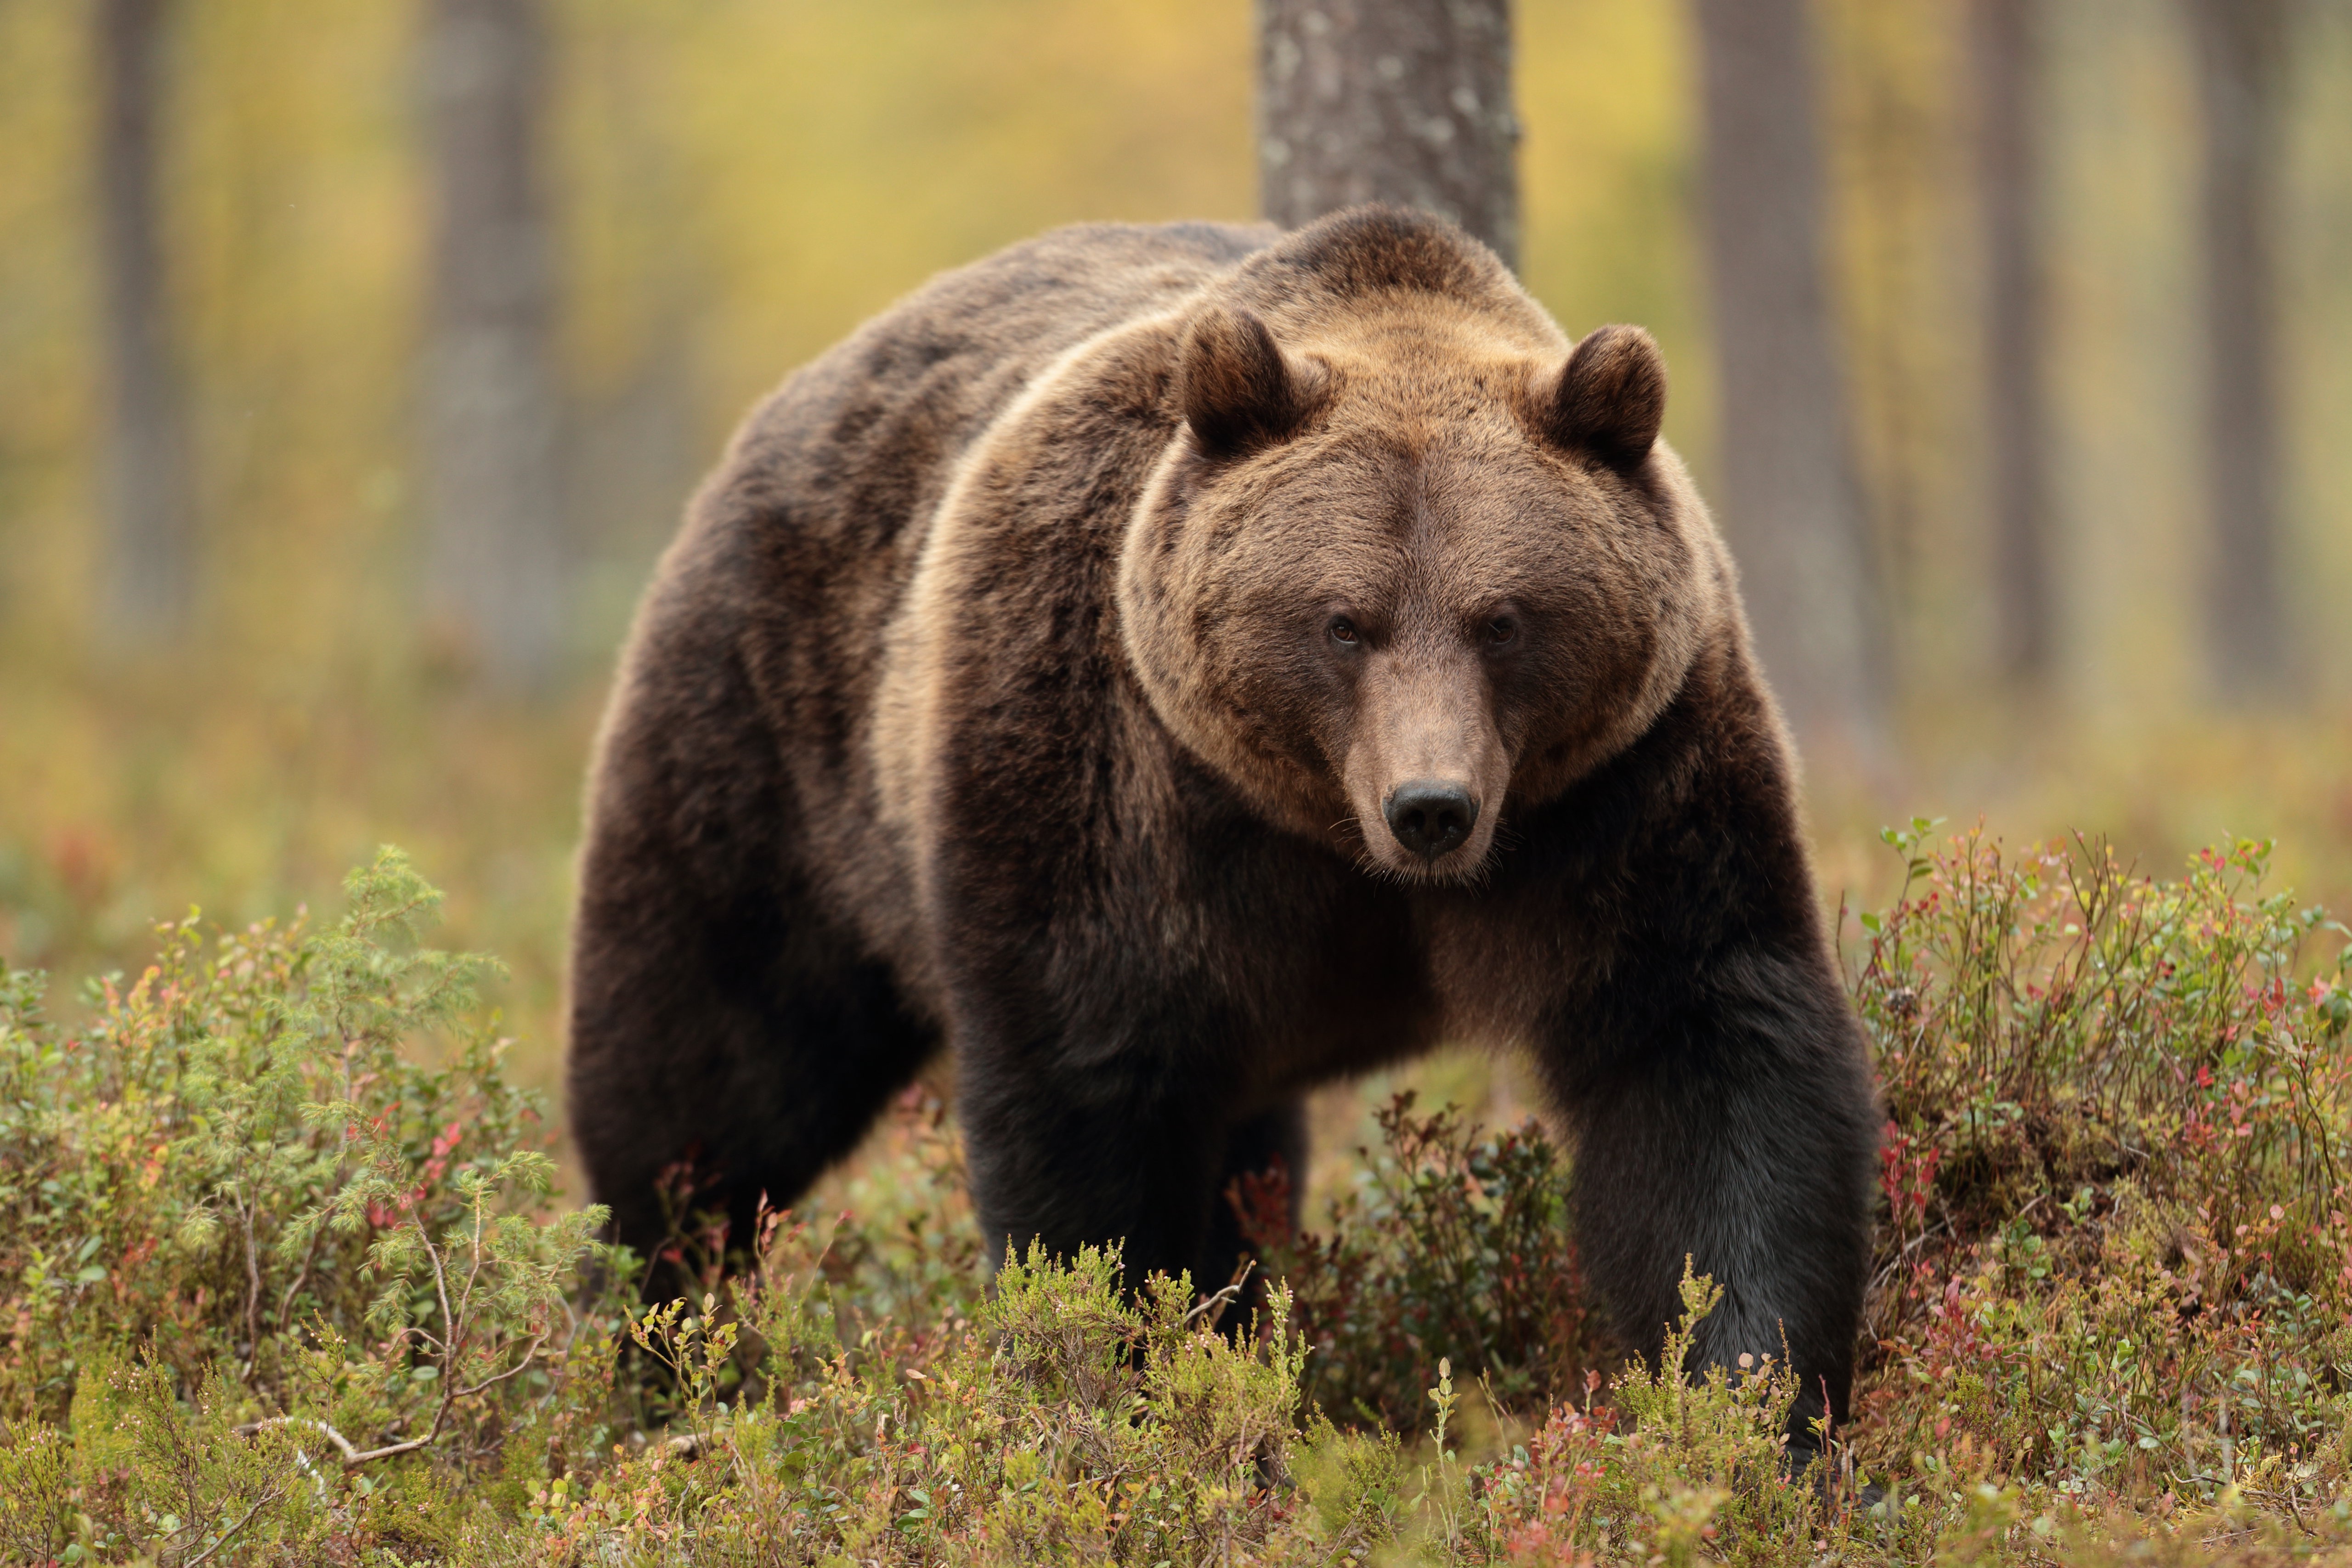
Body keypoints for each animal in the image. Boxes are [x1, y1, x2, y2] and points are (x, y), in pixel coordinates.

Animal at [578, 205, 1882, 1457]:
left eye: (1503, 618)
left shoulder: (1628, 783)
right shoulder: (1106, 773)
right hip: (776, 742)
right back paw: (647, 1347)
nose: (1431, 806)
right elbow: (1087, 1105)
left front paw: (1751, 1409)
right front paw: (1130, 1394)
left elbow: (1701, 1060)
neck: (1328, 835)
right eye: (1342, 619)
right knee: (709, 1067)